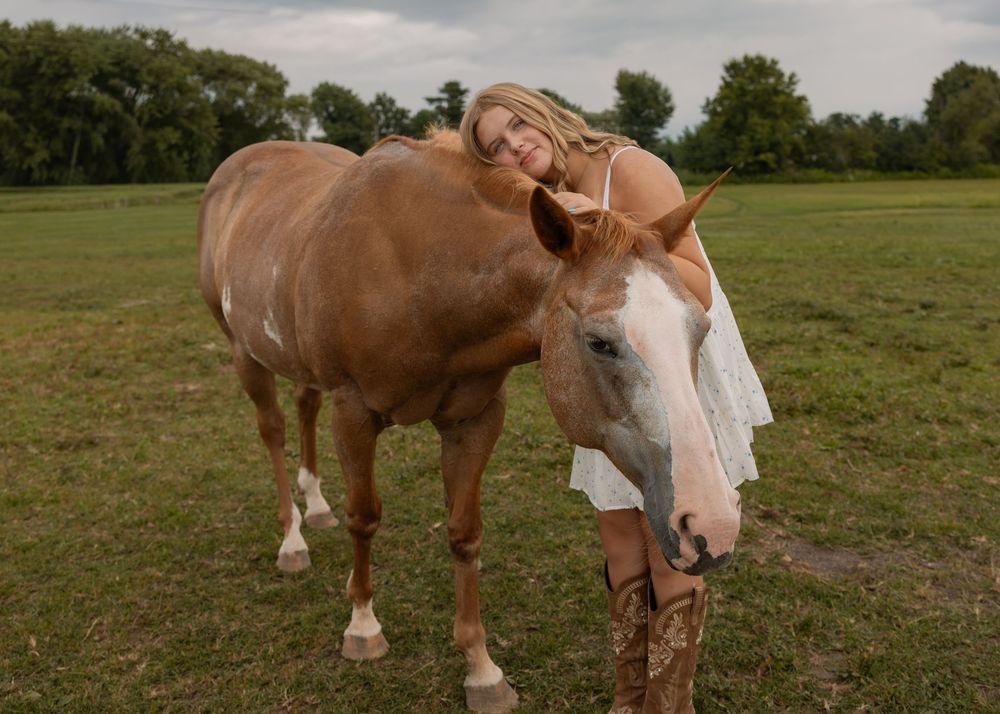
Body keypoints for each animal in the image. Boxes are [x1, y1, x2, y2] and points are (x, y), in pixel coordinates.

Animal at [197, 131, 740, 712]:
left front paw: (481, 670)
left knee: (303, 407)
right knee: (273, 431)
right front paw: (363, 626)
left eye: (701, 328)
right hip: (244, 353)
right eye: (599, 342)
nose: (713, 523)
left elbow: (464, 534)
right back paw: (293, 540)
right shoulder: (353, 411)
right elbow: (363, 518)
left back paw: (316, 507)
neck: (421, 277)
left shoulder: (475, 420)